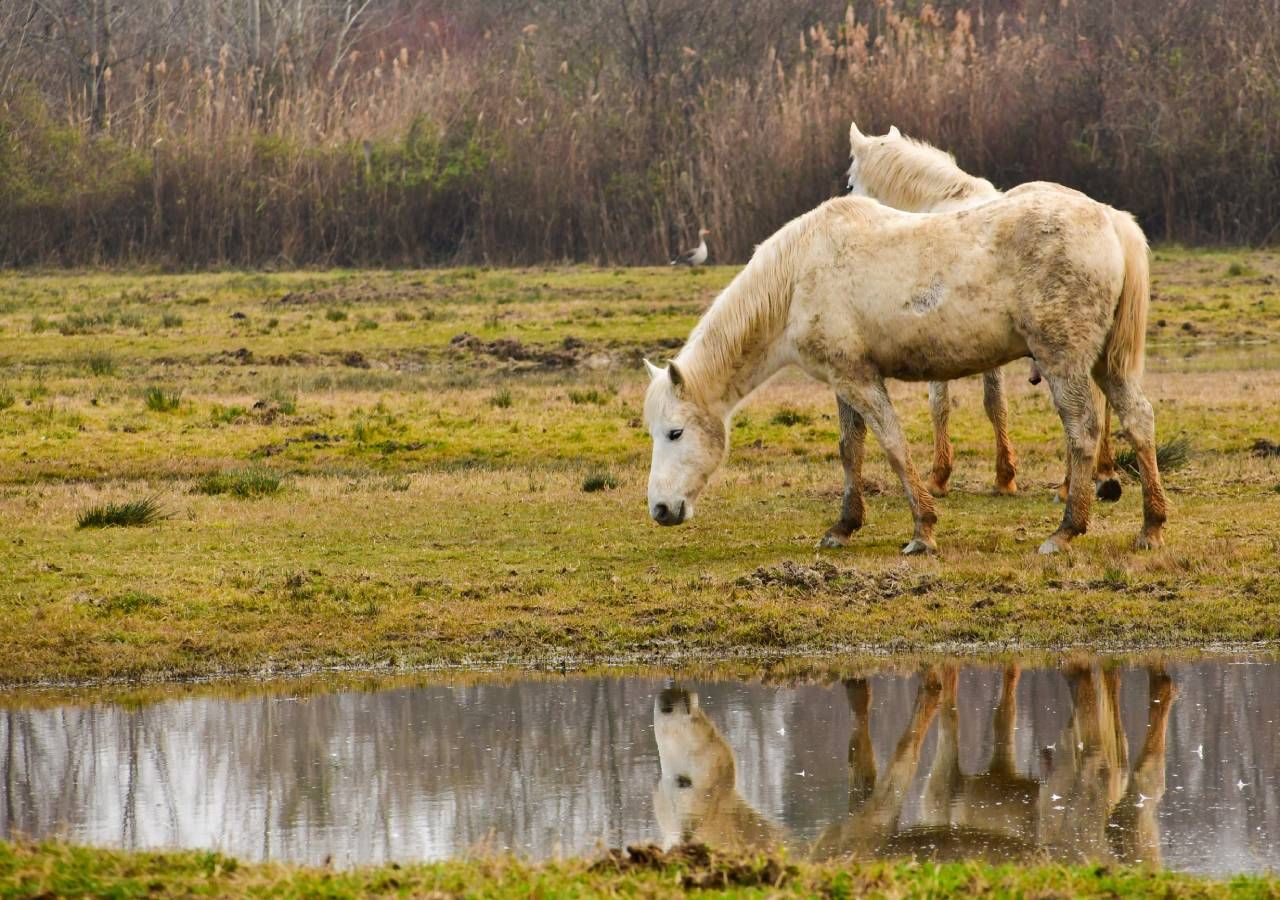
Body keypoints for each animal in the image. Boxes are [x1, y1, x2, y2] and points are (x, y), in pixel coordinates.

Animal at [642, 188, 1166, 554]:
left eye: (674, 432)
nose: (661, 509)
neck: (796, 278)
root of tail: (1110, 219)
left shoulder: (860, 381)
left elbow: (892, 446)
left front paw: (923, 532)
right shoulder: (843, 382)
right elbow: (850, 449)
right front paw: (844, 526)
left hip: (1065, 362)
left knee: (1083, 432)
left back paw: (1066, 531)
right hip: (1106, 364)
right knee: (1138, 419)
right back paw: (1151, 527)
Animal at [845, 122, 1128, 503]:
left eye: (850, 183)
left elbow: (947, 404)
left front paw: (943, 476)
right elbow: (995, 404)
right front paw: (1004, 474)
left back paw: (1074, 483)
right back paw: (1103, 475)